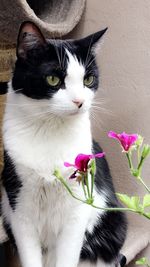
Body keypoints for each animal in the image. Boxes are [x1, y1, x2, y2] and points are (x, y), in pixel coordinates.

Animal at [0, 22, 126, 266]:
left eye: (88, 80)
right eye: (53, 79)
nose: (80, 101)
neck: (50, 130)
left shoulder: (76, 211)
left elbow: (68, 255)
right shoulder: (20, 209)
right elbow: (29, 254)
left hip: (114, 221)